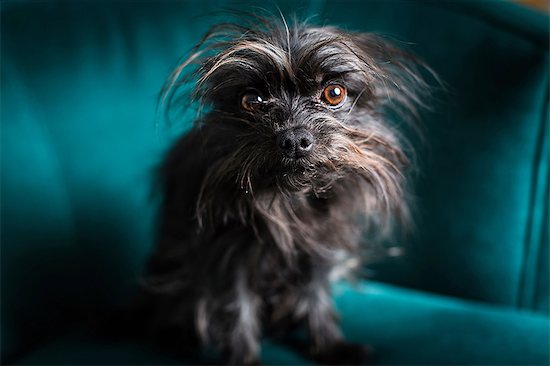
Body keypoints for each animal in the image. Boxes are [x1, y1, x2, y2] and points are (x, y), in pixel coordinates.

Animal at [141, 12, 432, 364]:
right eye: (252, 101)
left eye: (334, 93)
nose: (293, 138)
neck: (290, 199)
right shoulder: (226, 256)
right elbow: (235, 308)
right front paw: (243, 359)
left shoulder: (318, 248)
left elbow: (317, 296)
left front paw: (331, 346)